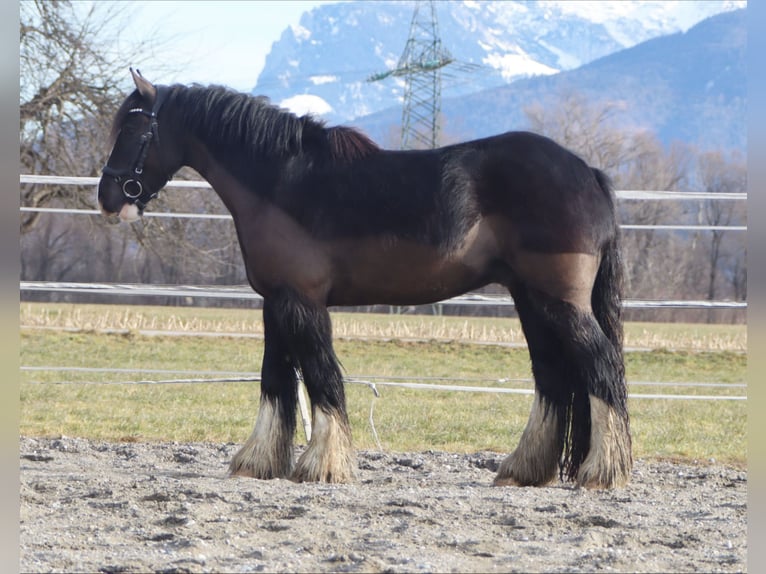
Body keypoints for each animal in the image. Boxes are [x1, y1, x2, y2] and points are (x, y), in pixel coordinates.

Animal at [99, 68, 632, 490]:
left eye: (134, 126)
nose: (108, 197)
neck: (281, 182)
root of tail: (588, 172)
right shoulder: (276, 302)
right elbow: (275, 379)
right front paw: (259, 461)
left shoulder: (303, 302)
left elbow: (322, 378)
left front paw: (323, 465)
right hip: (531, 300)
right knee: (553, 376)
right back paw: (523, 469)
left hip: (558, 301)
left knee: (601, 365)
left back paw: (601, 472)